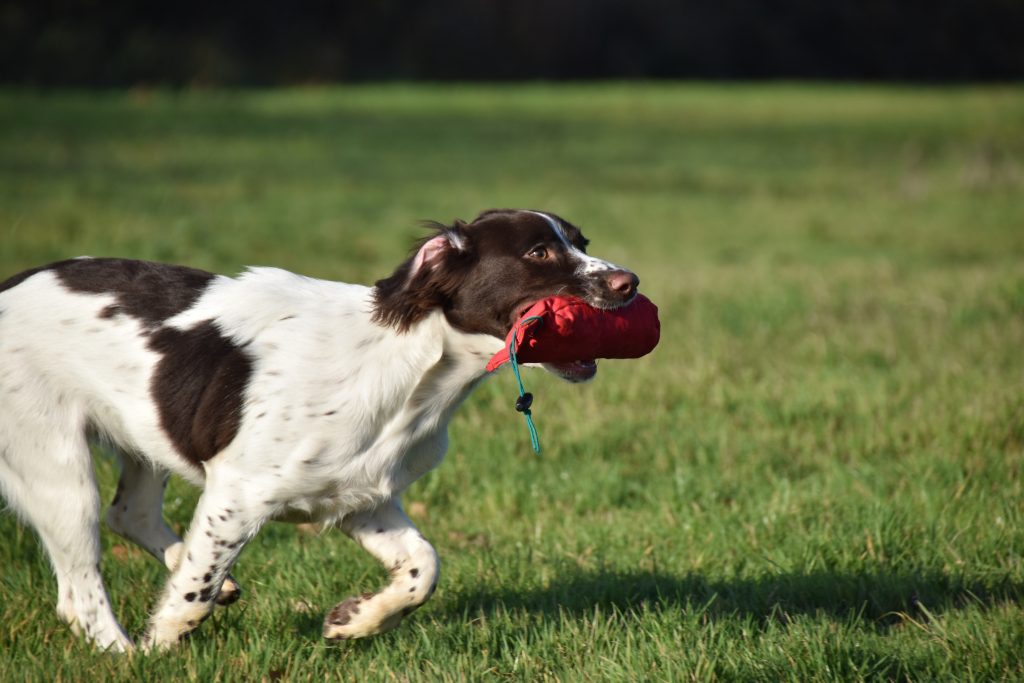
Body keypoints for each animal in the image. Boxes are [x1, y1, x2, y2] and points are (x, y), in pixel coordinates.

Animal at [0, 208, 634, 651]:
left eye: (582, 243)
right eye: (538, 251)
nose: (629, 282)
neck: (412, 369)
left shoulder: (360, 496)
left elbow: (423, 566)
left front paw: (352, 622)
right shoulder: (238, 493)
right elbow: (194, 591)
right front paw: (164, 644)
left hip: (146, 434)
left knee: (128, 513)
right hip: (56, 468)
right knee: (81, 590)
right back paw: (129, 655)